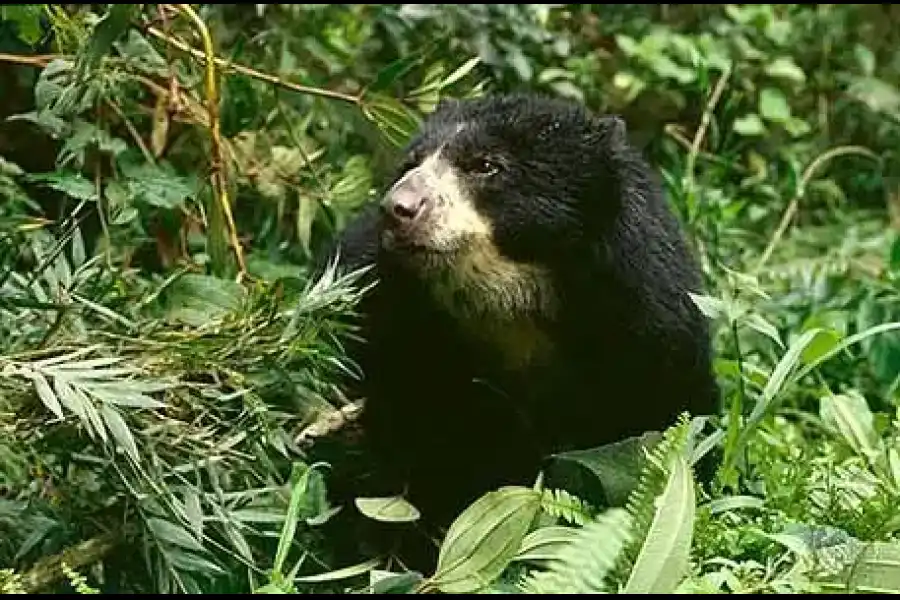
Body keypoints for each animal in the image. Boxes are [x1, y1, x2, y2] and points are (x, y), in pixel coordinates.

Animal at [314, 94, 716, 556]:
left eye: (485, 165)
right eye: (410, 163)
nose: (400, 208)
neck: (511, 300)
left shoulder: (647, 325)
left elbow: (661, 418)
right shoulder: (388, 317)